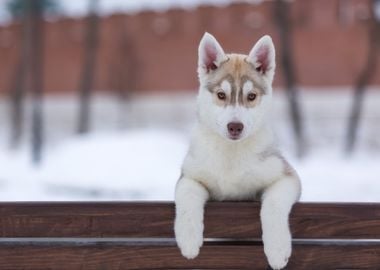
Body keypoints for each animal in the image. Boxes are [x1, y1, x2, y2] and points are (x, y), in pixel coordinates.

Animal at [174, 32, 302, 268]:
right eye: (221, 95)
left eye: (251, 96)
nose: (235, 126)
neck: (231, 154)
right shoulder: (190, 176)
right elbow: (187, 196)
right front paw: (188, 240)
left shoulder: (286, 176)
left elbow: (274, 204)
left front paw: (277, 250)